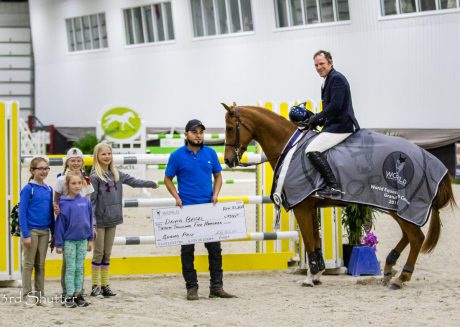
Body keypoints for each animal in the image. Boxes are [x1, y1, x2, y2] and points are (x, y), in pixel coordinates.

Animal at [224, 104, 456, 290]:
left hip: (400, 206)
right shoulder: (310, 206)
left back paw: (401, 277)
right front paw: (317, 273)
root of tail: (430, 159)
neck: (291, 149)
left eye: (229, 128)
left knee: (416, 238)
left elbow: (309, 239)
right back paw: (390, 267)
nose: (227, 160)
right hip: (395, 208)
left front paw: (310, 277)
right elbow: (315, 239)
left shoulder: (301, 206)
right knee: (409, 236)